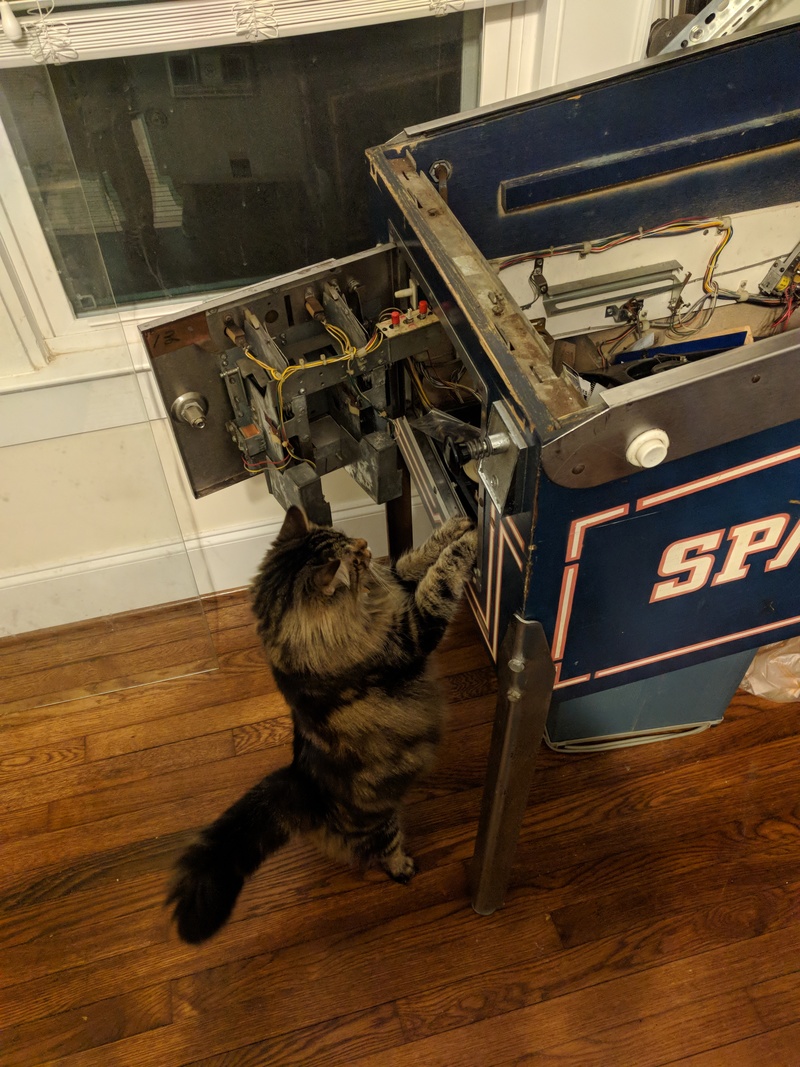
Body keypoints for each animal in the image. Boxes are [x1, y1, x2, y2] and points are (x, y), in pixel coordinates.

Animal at [167, 507, 475, 943]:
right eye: (355, 560)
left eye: (347, 537)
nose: (365, 545)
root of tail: (301, 782)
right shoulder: (411, 635)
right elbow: (439, 582)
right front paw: (469, 542)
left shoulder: (398, 593)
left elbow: (414, 560)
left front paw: (457, 526)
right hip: (379, 821)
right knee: (381, 851)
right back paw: (404, 868)